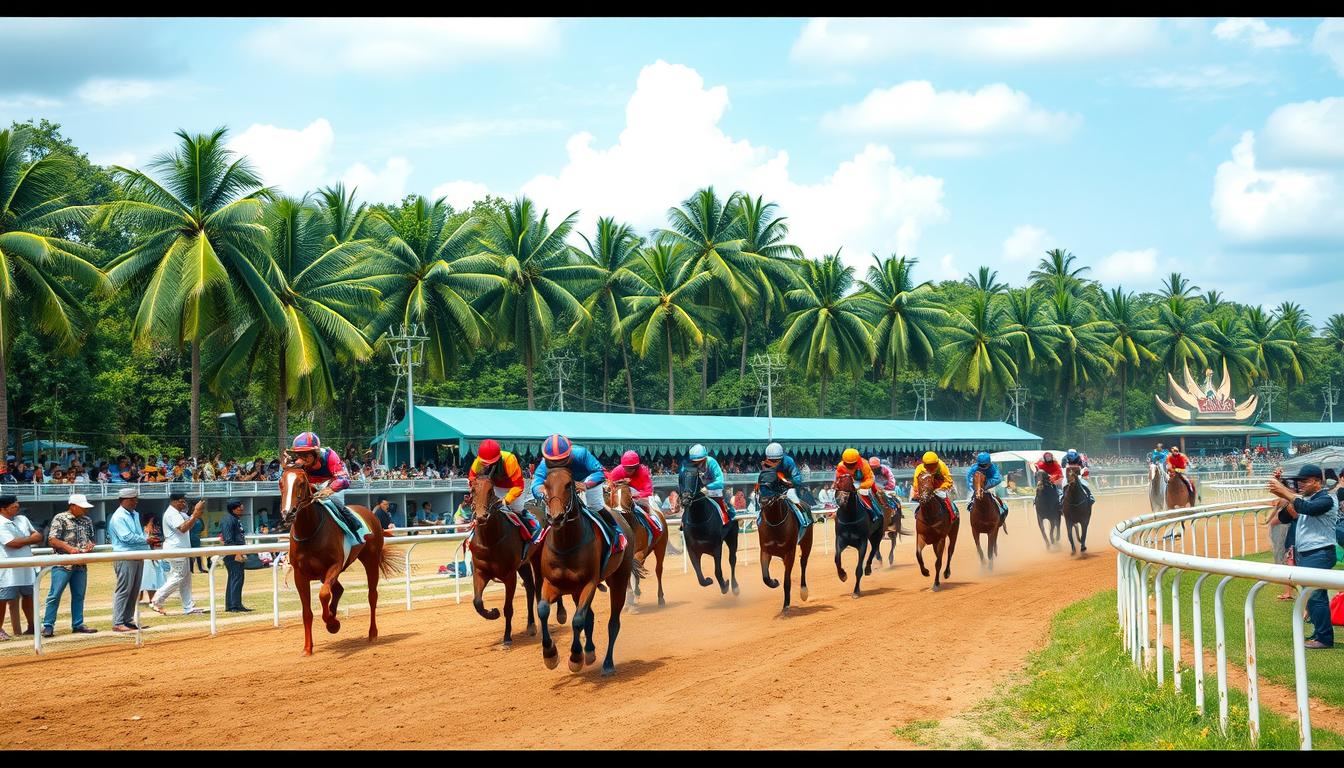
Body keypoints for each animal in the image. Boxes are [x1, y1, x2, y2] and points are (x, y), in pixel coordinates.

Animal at [275, 459, 395, 659]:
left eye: (301, 483)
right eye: (280, 483)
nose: (288, 513)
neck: (310, 531)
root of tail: (369, 512)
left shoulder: (335, 565)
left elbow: (324, 594)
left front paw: (332, 623)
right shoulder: (300, 574)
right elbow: (307, 612)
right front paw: (308, 648)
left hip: (370, 559)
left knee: (372, 596)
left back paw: (372, 634)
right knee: (339, 589)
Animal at [470, 476, 537, 648]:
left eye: (490, 491)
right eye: (472, 490)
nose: (481, 517)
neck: (490, 541)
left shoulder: (509, 576)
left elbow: (508, 608)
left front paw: (507, 638)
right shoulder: (480, 572)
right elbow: (477, 602)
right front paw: (492, 613)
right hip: (524, 564)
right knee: (530, 587)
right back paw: (531, 625)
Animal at [534, 465, 639, 675]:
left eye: (568, 484)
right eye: (546, 484)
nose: (556, 517)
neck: (566, 545)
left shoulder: (589, 583)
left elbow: (578, 620)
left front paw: (575, 657)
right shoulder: (552, 583)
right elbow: (543, 610)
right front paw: (550, 654)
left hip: (619, 578)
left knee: (613, 622)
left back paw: (607, 663)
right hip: (576, 591)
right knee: (589, 617)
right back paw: (590, 652)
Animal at [677, 465, 741, 597]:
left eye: (695, 477)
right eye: (680, 478)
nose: (685, 499)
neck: (699, 521)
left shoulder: (716, 546)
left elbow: (718, 571)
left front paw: (725, 585)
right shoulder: (692, 549)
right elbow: (700, 577)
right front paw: (708, 580)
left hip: (732, 536)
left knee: (732, 560)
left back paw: (735, 587)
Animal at [752, 468, 811, 613]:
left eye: (775, 483)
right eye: (760, 483)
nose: (764, 500)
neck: (775, 523)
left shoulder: (789, 552)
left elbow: (787, 581)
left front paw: (786, 606)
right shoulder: (765, 550)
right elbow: (765, 577)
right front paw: (774, 582)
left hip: (807, 543)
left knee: (803, 563)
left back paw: (804, 591)